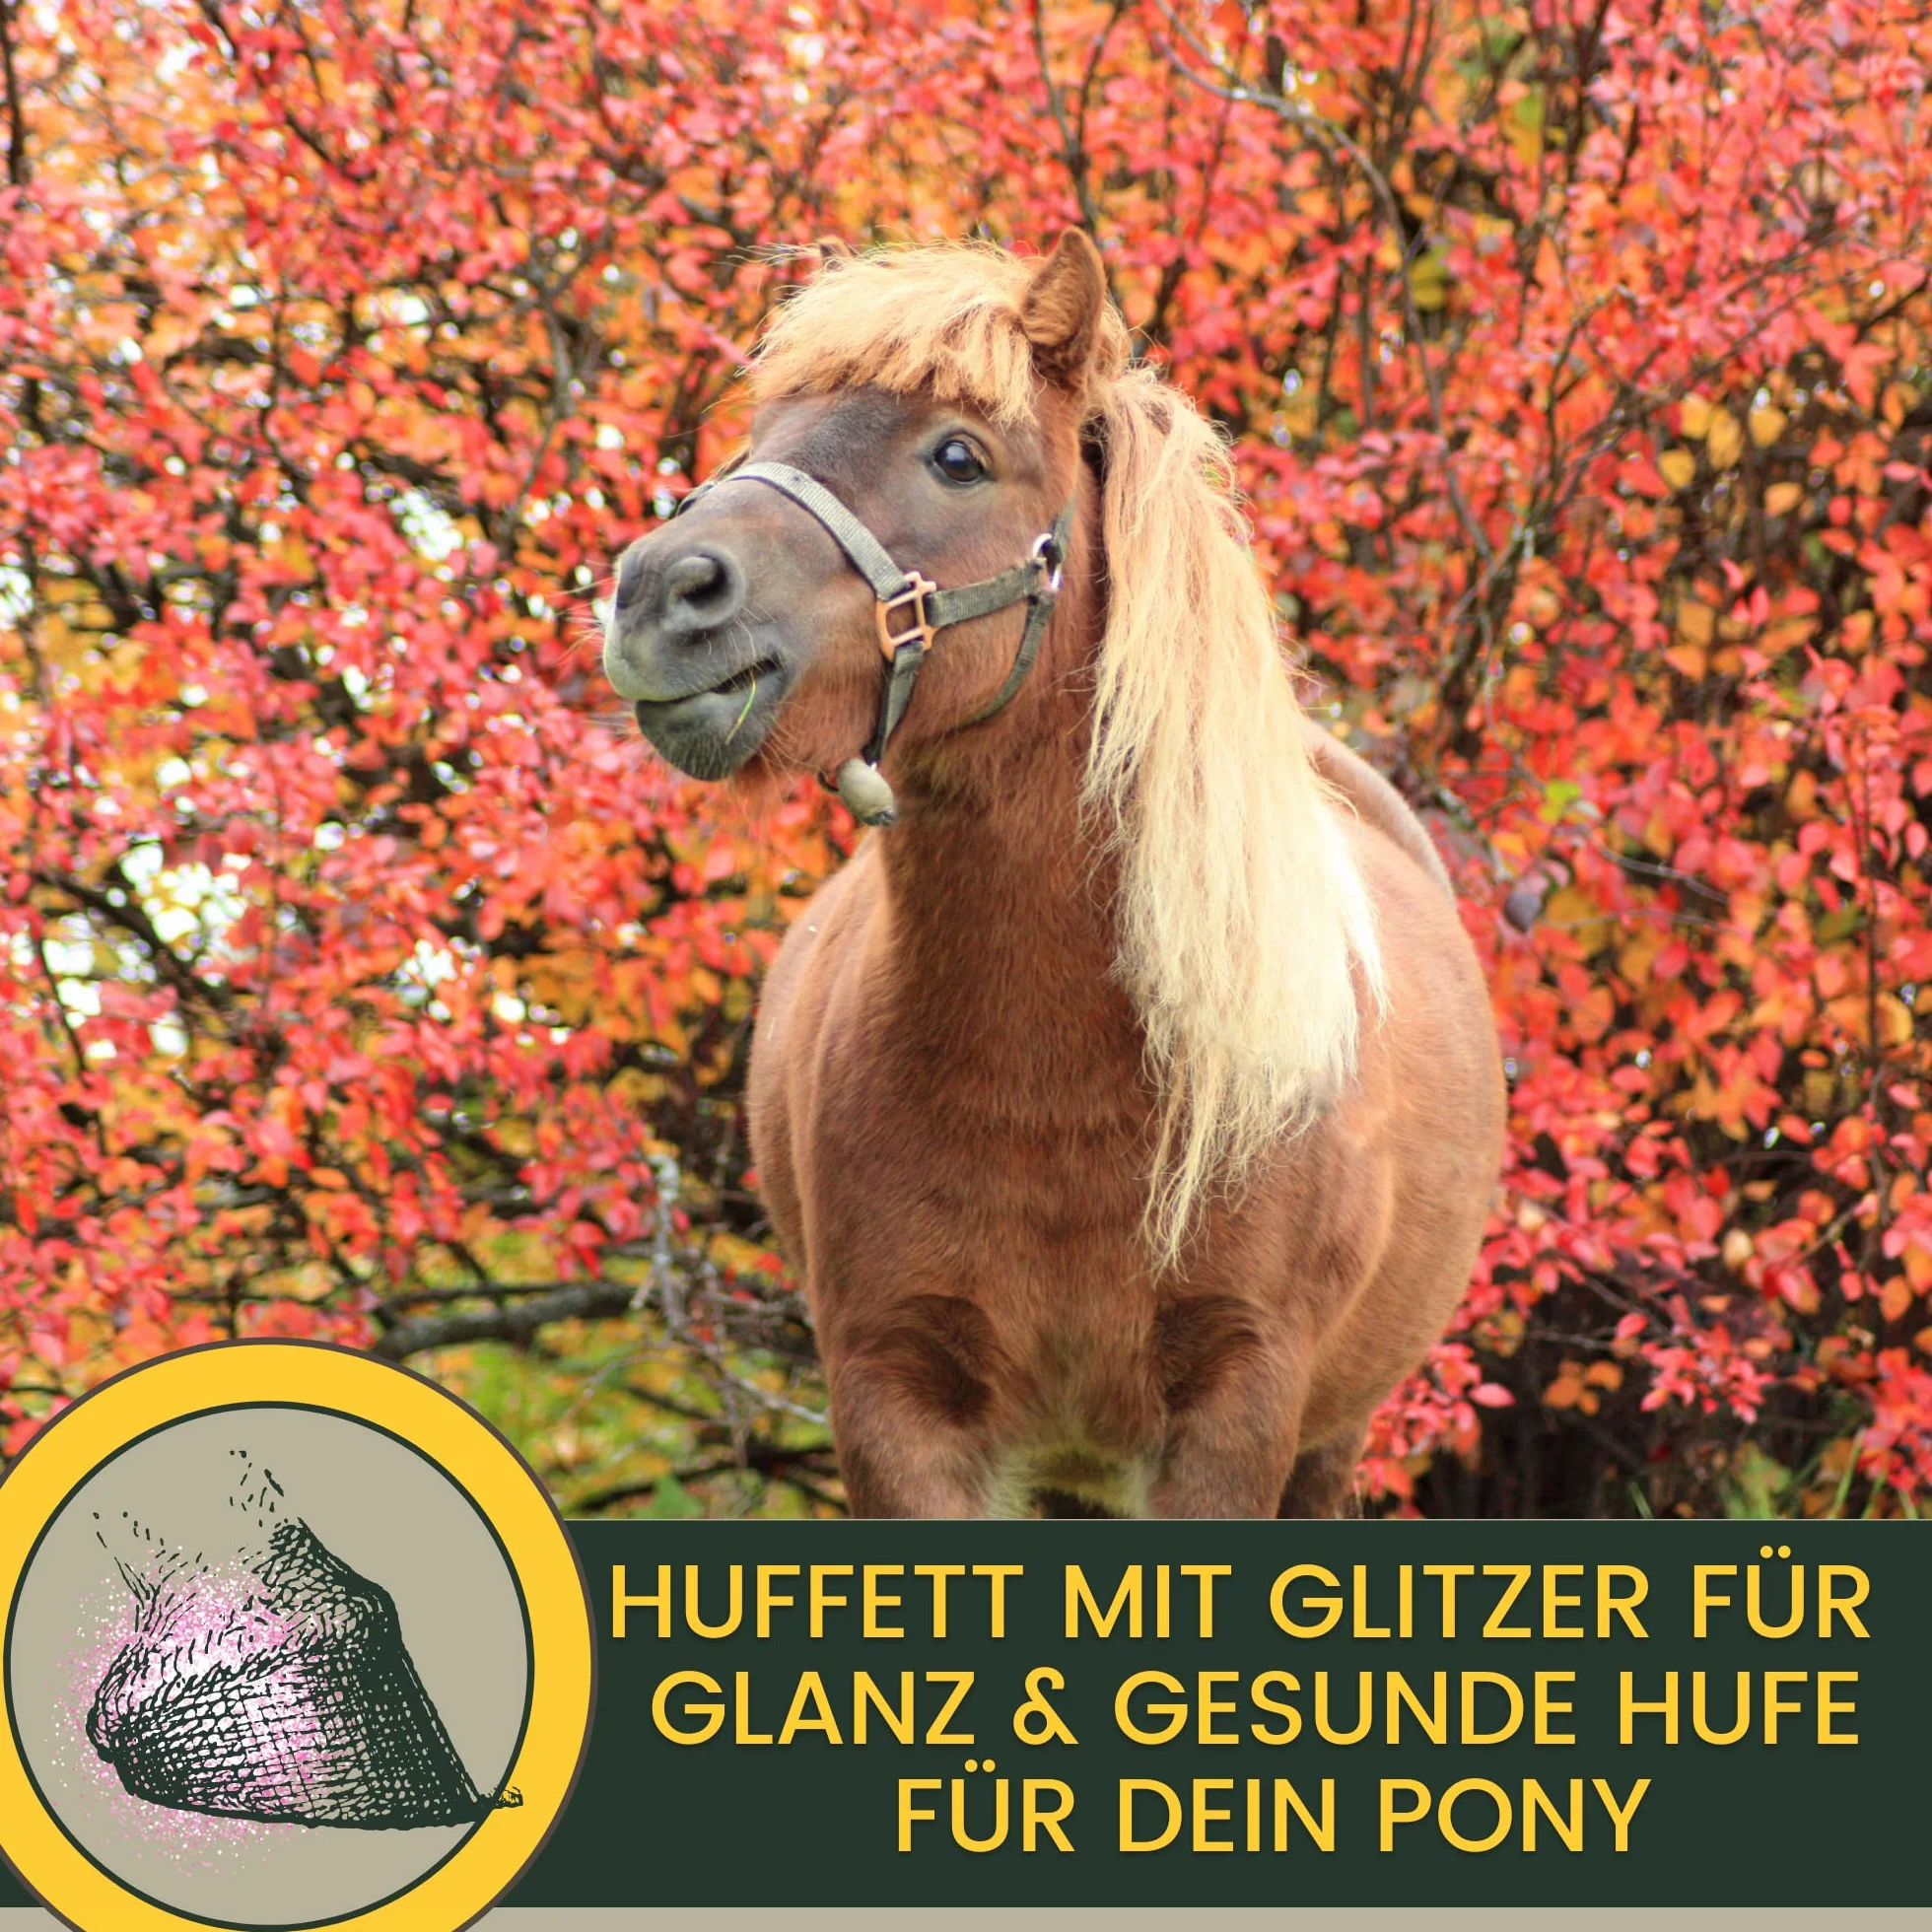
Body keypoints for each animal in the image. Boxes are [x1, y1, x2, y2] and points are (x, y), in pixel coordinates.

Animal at [600, 230, 1504, 1517]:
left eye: (958, 456)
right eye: (763, 430)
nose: (659, 592)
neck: (1058, 1082)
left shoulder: (1240, 1407)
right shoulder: (894, 1398)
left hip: (1330, 1440)